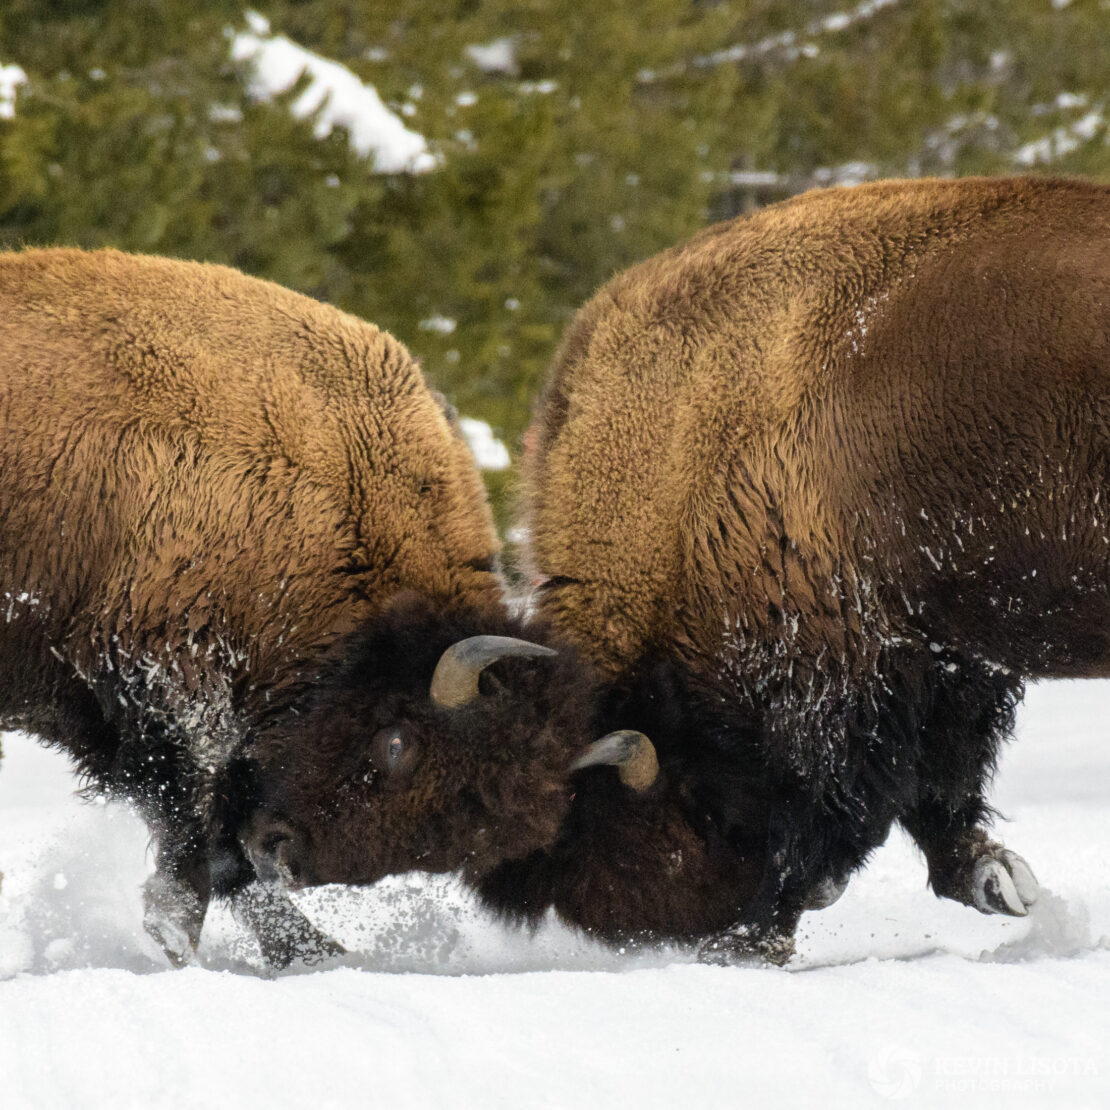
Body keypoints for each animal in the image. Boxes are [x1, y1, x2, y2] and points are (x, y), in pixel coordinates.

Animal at [0, 249, 508, 963]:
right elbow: (192, 814)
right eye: (396, 744)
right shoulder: (164, 678)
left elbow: (215, 840)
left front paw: (312, 951)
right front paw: (180, 939)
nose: (286, 858)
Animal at [240, 175, 1101, 963]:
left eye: (394, 746)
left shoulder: (840, 666)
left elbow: (838, 801)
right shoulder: (940, 654)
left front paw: (757, 933)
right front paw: (1000, 882)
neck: (689, 449)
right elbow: (935, 791)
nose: (270, 842)